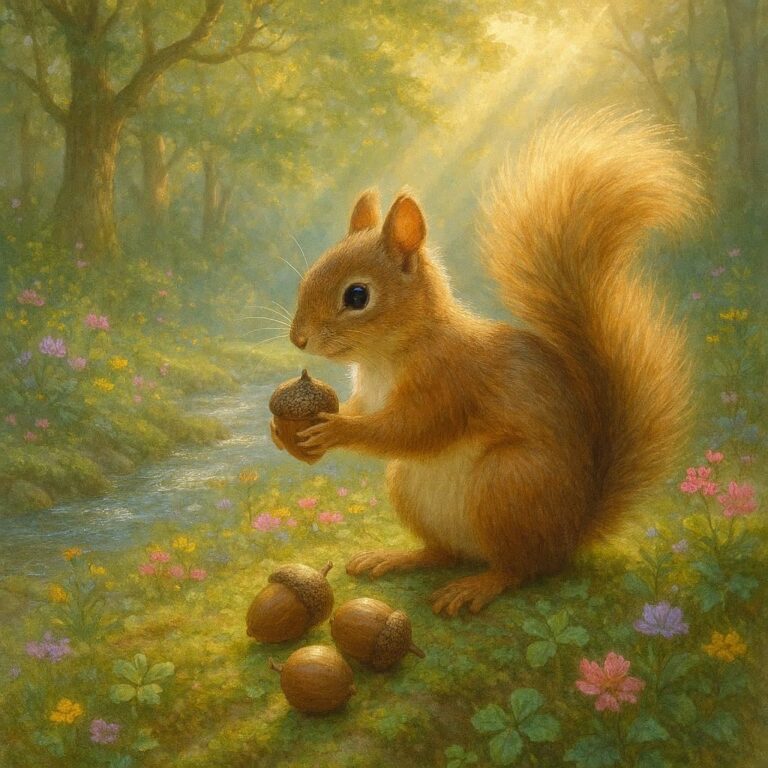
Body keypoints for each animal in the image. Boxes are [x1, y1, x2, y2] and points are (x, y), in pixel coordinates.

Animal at [282, 112, 702, 616]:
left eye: (357, 296)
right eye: (309, 276)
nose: (298, 338)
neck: (387, 355)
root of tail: (572, 532)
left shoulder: (451, 381)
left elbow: (413, 429)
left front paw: (336, 430)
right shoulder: (370, 392)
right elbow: (365, 411)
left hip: (508, 483)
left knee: (520, 567)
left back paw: (477, 586)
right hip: (411, 487)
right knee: (445, 552)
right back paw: (397, 557)